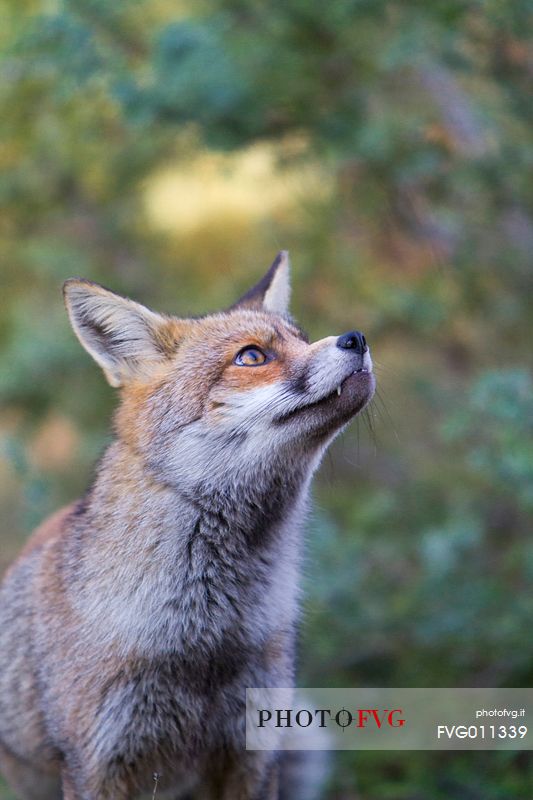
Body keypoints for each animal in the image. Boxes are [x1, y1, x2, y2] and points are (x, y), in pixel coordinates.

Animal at [0, 252, 374, 800]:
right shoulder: (98, 761)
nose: (357, 338)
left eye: (302, 338)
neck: (205, 636)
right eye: (252, 357)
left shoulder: (252, 749)